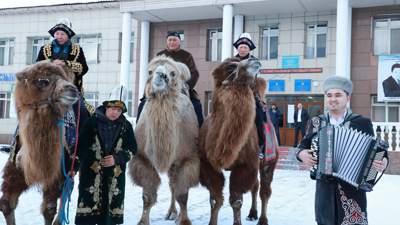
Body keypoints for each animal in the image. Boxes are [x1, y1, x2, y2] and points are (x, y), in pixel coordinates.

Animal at [0, 60, 79, 224]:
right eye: (43, 81)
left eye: (66, 79)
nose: (72, 89)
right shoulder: (17, 168)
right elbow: (6, 204)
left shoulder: (56, 172)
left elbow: (49, 210)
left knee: (66, 191)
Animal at [129, 55, 199, 225]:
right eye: (150, 71)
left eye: (172, 73)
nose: (162, 75)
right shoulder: (143, 159)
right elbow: (147, 196)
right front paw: (143, 221)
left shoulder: (186, 159)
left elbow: (183, 194)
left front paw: (184, 220)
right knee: (172, 184)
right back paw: (171, 213)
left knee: (175, 185)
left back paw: (175, 214)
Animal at [199, 58, 278, 225]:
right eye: (231, 66)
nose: (254, 59)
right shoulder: (207, 164)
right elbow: (215, 199)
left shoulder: (245, 164)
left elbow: (236, 200)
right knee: (256, 186)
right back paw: (252, 213)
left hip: (270, 160)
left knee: (264, 190)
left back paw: (262, 219)